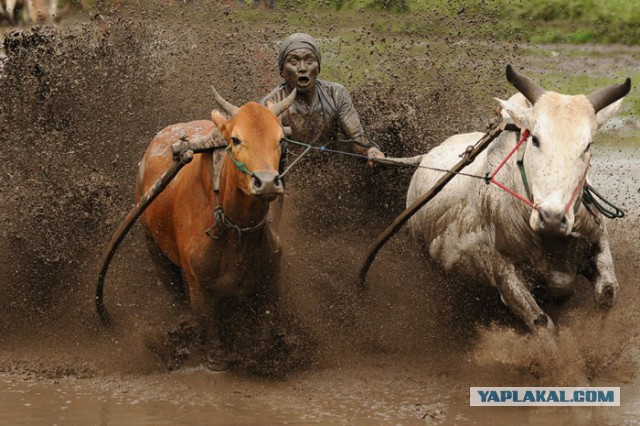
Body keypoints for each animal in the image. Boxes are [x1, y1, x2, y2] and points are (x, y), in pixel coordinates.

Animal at [136, 90, 296, 360]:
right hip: (153, 245)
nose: (266, 182)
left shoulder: (268, 285)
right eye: (236, 139)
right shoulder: (199, 290)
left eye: (281, 140)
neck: (236, 232)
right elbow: (213, 345)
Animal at [408, 64, 628, 336]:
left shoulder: (598, 242)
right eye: (535, 138)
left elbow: (607, 293)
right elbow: (540, 322)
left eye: (587, 145)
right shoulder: (506, 273)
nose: (552, 218)